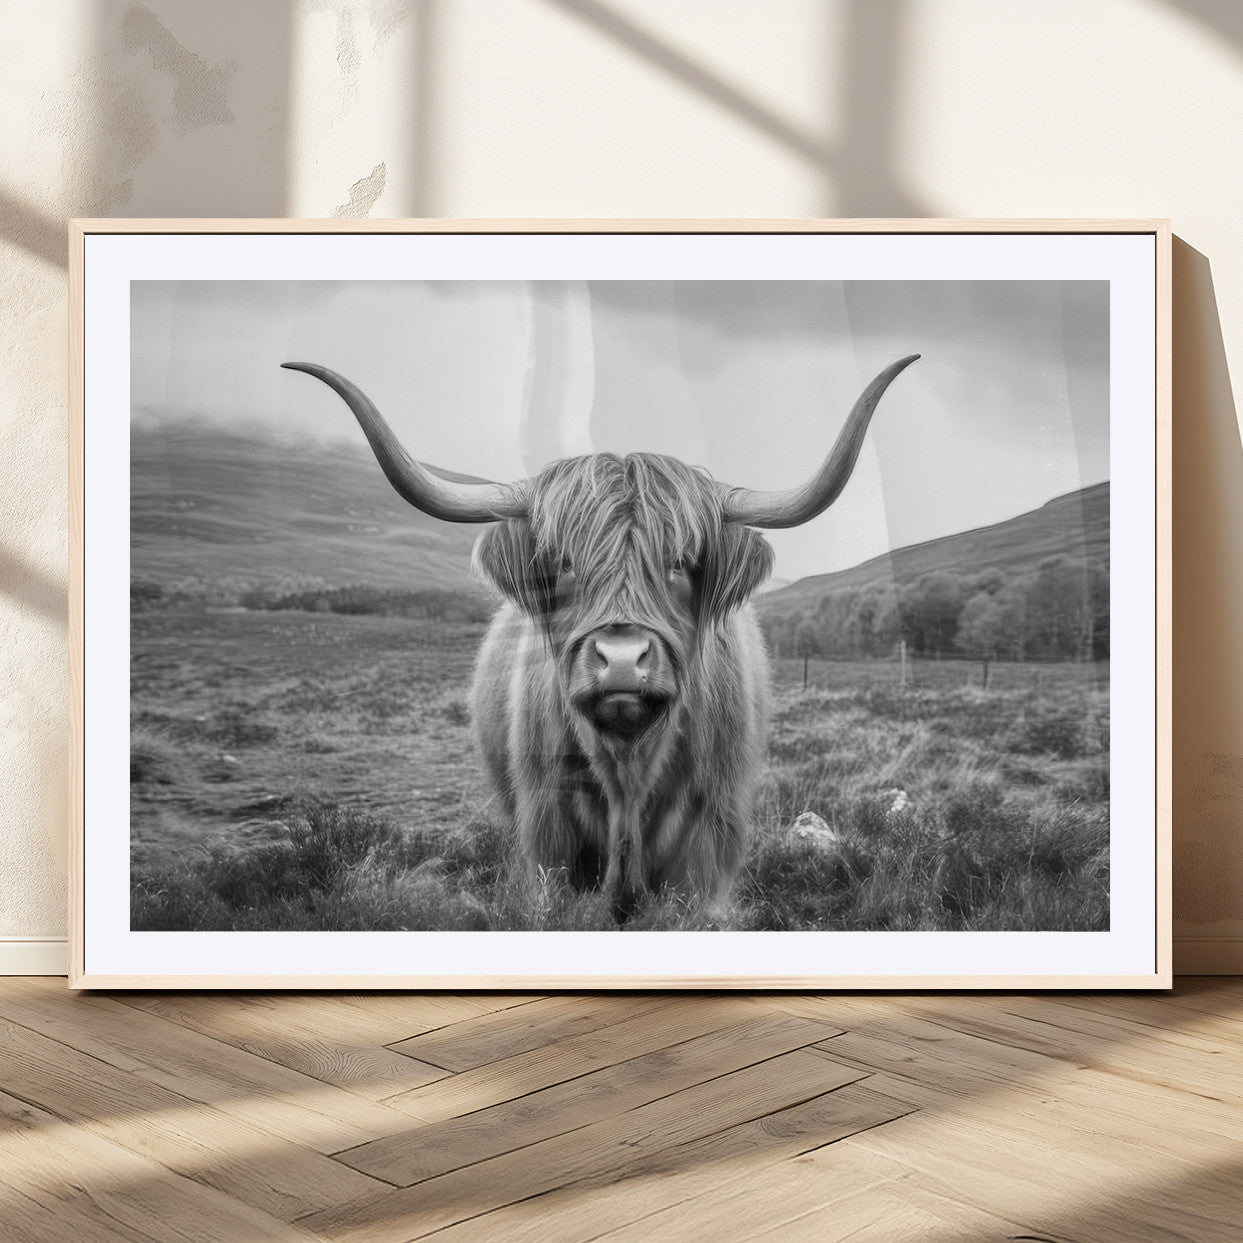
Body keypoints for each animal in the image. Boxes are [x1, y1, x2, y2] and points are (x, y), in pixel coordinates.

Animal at [282, 354, 919, 920]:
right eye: (564, 563)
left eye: (680, 563)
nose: (621, 660)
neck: (628, 768)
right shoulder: (550, 827)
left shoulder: (708, 832)